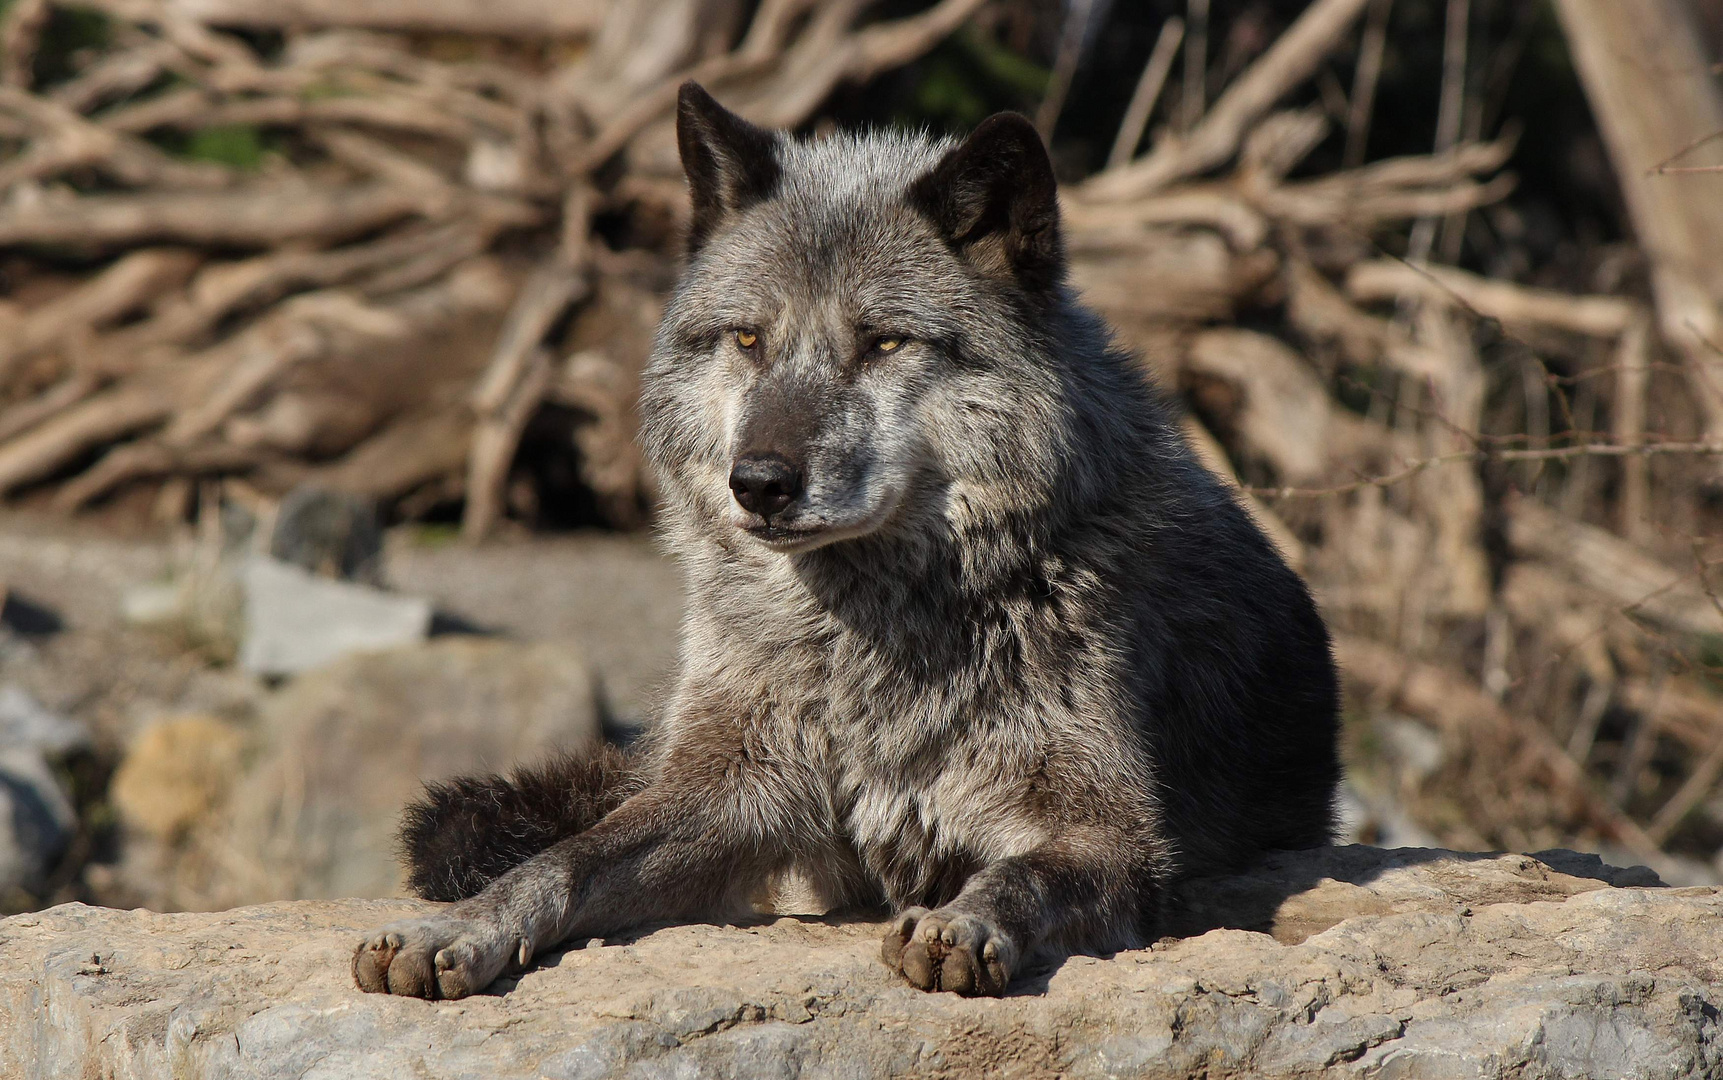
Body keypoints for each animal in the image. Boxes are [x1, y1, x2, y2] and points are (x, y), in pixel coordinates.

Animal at [353, 80, 1343, 999]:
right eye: (748, 338)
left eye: (884, 343)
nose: (757, 483)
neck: (862, 639)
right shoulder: (730, 792)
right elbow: (566, 858)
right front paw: (459, 927)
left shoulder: (1111, 834)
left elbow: (1021, 875)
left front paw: (962, 923)